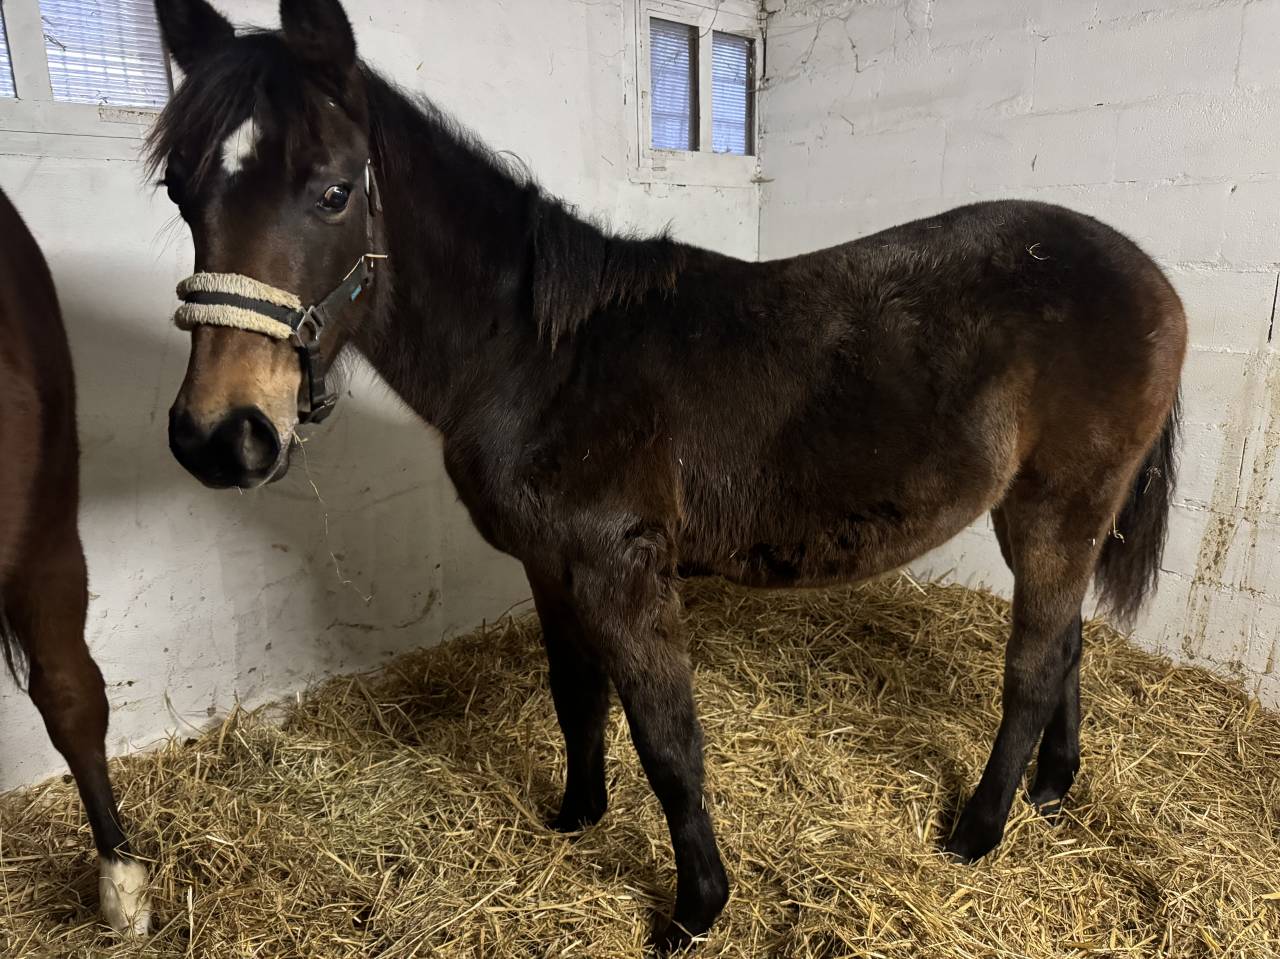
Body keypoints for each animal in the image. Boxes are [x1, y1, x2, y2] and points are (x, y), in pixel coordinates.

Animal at [150, 0, 1185, 948]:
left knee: (1033, 667)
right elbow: (578, 697)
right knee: (1066, 646)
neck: (536, 359)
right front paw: (576, 816)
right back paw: (1052, 790)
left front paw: (695, 908)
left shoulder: (623, 571)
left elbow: (667, 737)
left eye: (333, 192)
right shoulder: (551, 565)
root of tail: (1150, 277)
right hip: (1042, 514)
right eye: (180, 191)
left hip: (1060, 506)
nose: (221, 436)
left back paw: (977, 830)